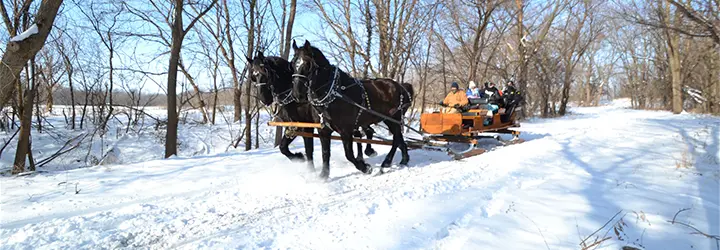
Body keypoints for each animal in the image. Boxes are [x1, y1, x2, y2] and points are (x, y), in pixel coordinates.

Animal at [246, 51, 380, 171]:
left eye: (265, 72)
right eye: (253, 76)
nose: (264, 99)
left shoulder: (305, 126)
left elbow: (308, 149)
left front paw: (307, 164)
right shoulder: (292, 126)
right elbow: (284, 147)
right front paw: (300, 158)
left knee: (366, 131)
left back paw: (367, 152)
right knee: (360, 134)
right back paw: (362, 155)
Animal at [290, 40, 414, 179]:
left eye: (308, 64)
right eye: (293, 64)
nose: (297, 94)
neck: (335, 93)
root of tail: (400, 86)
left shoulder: (346, 130)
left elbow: (349, 154)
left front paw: (365, 168)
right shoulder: (324, 131)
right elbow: (325, 153)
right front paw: (323, 176)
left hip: (392, 118)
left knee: (396, 138)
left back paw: (386, 163)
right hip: (391, 120)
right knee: (399, 138)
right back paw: (404, 159)